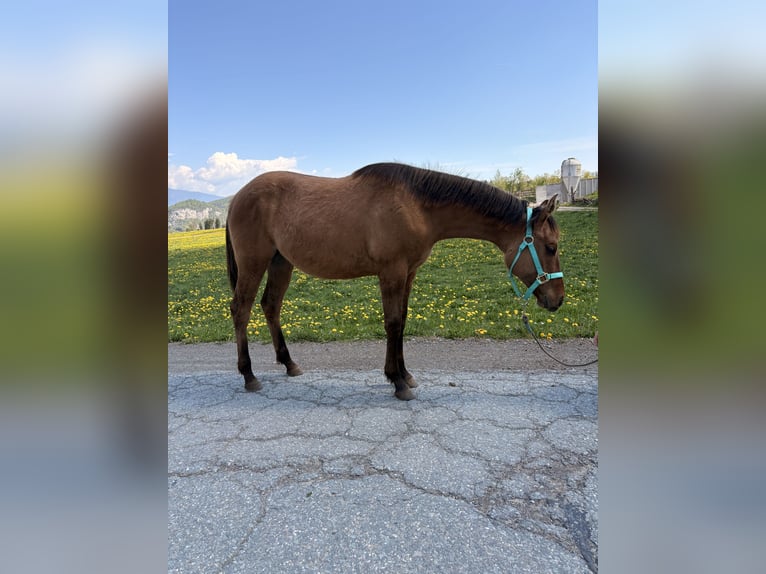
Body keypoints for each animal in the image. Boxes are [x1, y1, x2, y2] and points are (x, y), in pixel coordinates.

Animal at [225, 162, 564, 400]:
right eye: (551, 247)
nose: (558, 299)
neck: (417, 206)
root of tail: (237, 197)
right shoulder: (392, 272)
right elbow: (393, 323)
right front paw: (398, 381)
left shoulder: (408, 273)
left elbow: (402, 320)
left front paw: (404, 374)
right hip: (254, 263)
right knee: (241, 310)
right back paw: (249, 376)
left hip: (281, 263)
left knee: (271, 306)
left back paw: (289, 364)